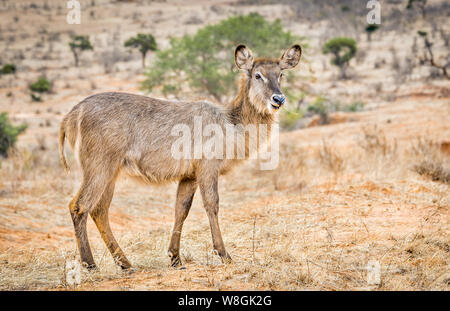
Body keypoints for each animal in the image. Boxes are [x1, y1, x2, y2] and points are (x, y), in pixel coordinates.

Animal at [58, 44, 300, 270]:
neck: (231, 122)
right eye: (258, 75)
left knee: (99, 210)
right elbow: (212, 204)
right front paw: (224, 254)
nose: (278, 99)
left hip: (111, 173)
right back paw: (90, 264)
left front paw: (175, 257)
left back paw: (125, 263)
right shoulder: (207, 168)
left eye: (281, 74)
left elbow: (181, 209)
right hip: (99, 167)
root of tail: (72, 113)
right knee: (78, 206)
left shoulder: (189, 175)